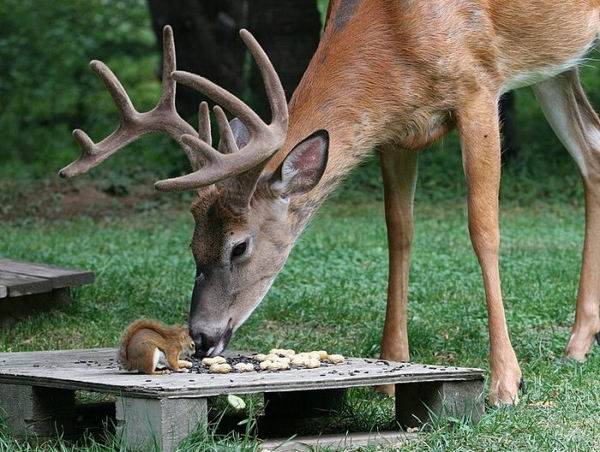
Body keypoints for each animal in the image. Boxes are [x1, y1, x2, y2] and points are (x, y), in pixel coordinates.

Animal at [59, 0, 600, 402]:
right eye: (193, 245)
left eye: (240, 246)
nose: (203, 337)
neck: (398, 34)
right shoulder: (396, 130)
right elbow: (399, 234)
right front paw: (391, 369)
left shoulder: (478, 90)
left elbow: (483, 230)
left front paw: (506, 382)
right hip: (558, 65)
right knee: (592, 151)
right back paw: (578, 341)